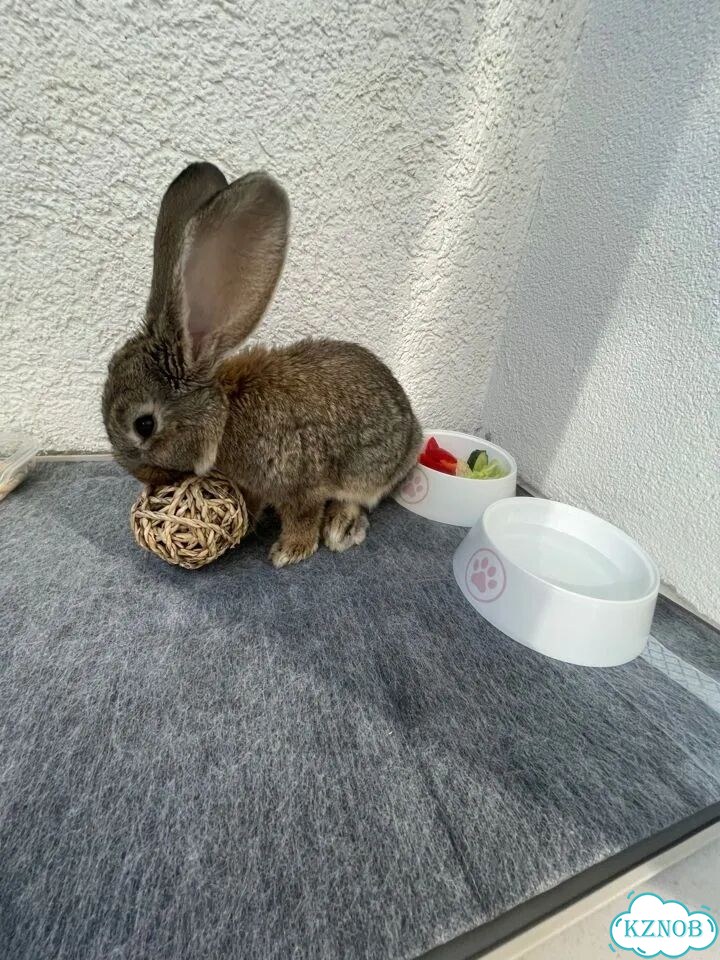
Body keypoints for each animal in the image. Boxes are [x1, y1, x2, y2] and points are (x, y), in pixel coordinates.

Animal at [102, 162, 423, 566]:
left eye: (143, 425)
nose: (142, 475)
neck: (224, 417)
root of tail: (414, 429)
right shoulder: (251, 485)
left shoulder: (299, 483)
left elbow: (303, 515)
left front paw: (290, 551)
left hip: (372, 472)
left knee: (359, 498)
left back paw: (340, 527)